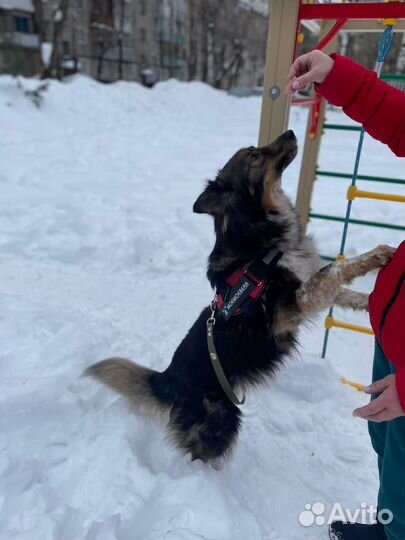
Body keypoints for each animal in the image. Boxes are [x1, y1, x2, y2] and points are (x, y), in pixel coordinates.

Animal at [84, 131, 392, 464]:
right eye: (254, 156)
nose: (290, 133)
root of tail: (167, 379)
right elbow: (333, 269)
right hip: (222, 422)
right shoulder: (289, 309)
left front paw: (373, 296)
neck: (263, 240)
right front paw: (375, 255)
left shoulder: (308, 289)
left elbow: (347, 292)